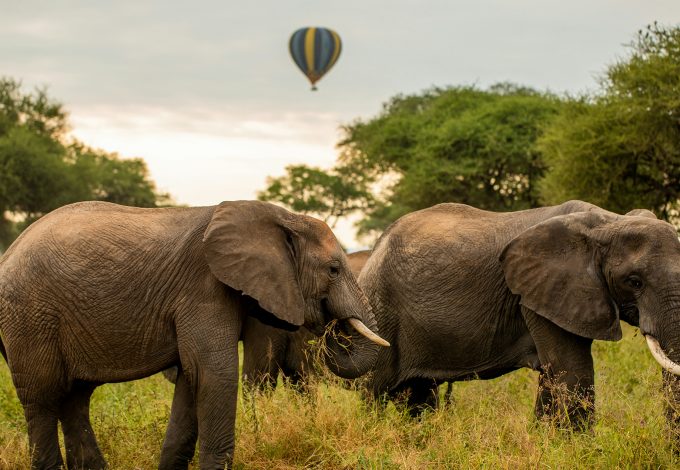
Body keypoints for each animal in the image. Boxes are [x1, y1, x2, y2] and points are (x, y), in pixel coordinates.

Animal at [0, 200, 387, 470]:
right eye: (333, 270)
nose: (331, 328)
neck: (280, 217)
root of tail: (9, 252)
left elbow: (192, 380)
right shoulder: (204, 289)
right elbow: (215, 375)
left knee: (75, 398)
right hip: (28, 317)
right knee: (42, 396)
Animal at [358, 200, 680, 427]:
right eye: (634, 282)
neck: (608, 222)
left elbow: (554, 377)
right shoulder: (538, 293)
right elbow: (572, 372)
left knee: (419, 395)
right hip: (379, 312)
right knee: (373, 393)